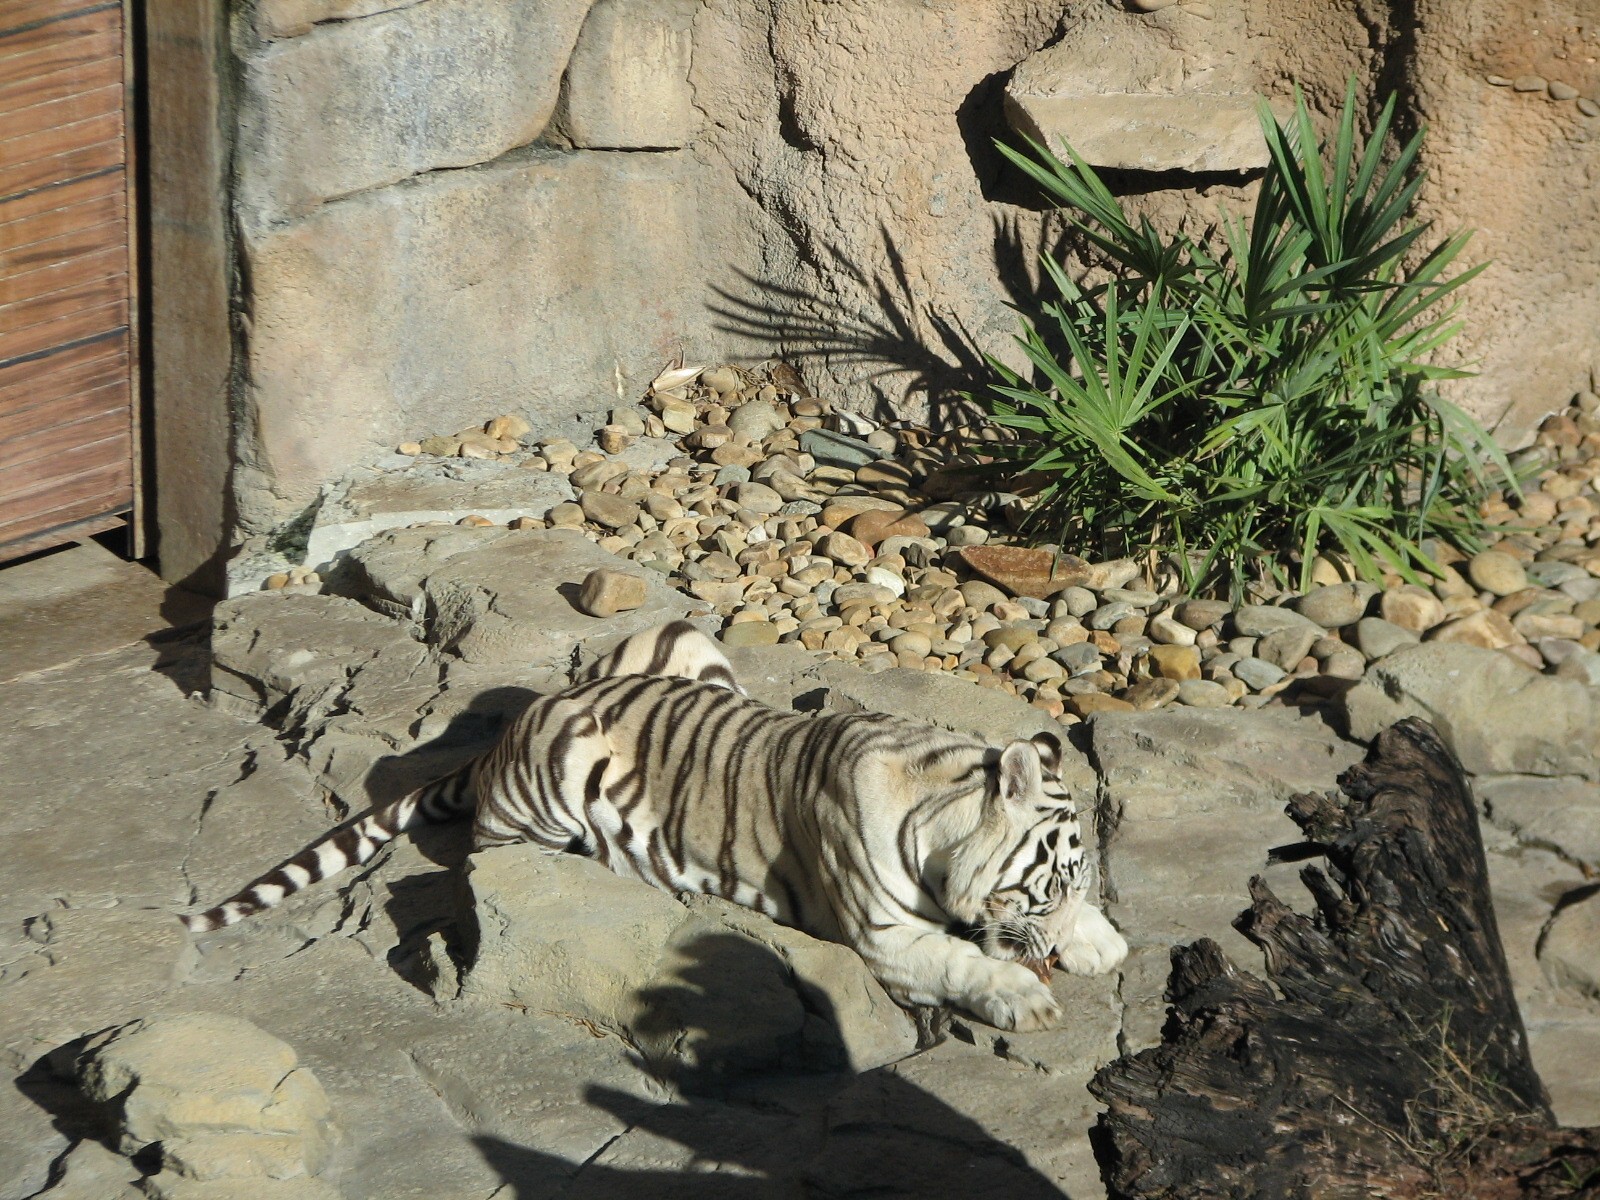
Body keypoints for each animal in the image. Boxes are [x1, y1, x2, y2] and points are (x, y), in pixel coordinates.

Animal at [183, 620, 1127, 1031]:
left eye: (1063, 886)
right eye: (1035, 891)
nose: (1049, 951)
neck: (940, 805)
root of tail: (524, 717)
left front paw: (1101, 939)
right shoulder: (886, 938)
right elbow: (960, 962)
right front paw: (1023, 994)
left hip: (685, 637)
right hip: (556, 774)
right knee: (486, 847)